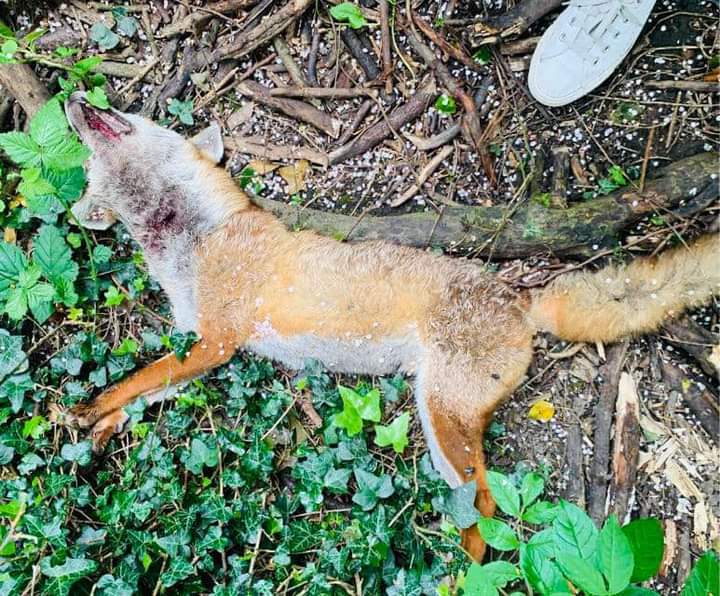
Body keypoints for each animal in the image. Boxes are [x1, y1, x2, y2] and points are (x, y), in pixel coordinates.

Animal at [61, 91, 719, 561]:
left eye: (124, 115)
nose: (71, 98)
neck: (193, 242)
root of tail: (518, 299)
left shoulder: (218, 341)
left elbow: (135, 379)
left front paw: (88, 408)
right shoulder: (202, 344)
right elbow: (147, 391)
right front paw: (102, 425)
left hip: (442, 419)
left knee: (486, 512)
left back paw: (460, 577)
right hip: (443, 425)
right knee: (480, 509)